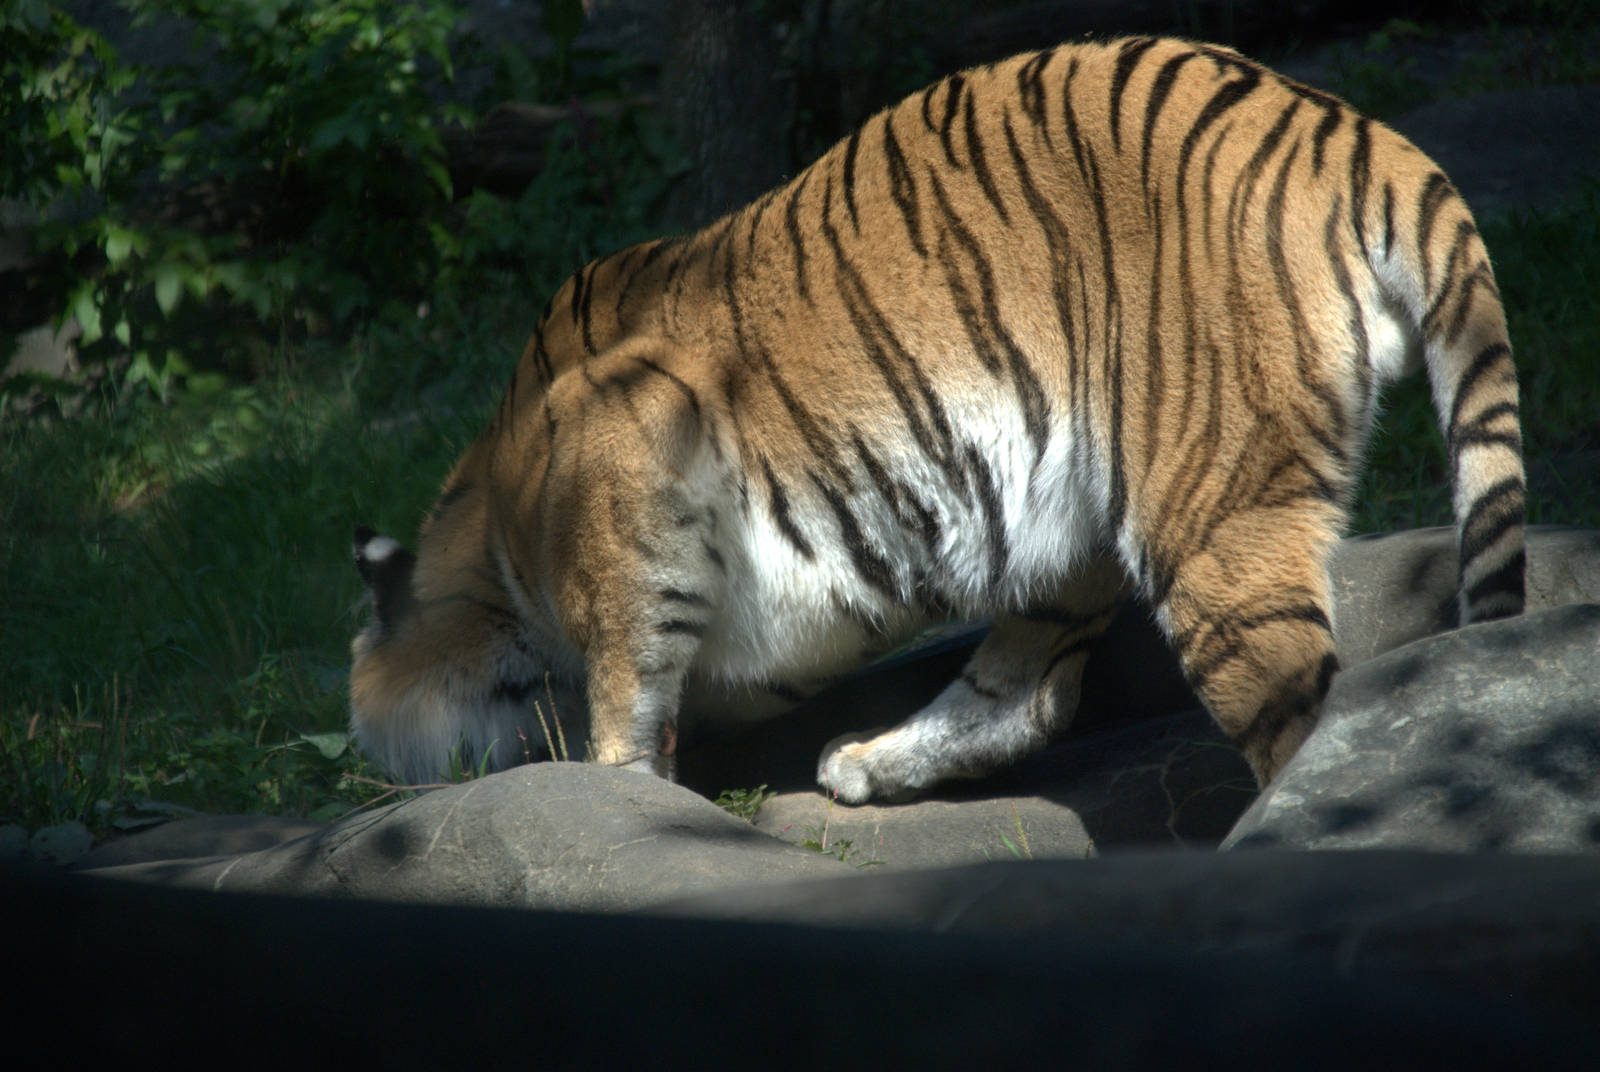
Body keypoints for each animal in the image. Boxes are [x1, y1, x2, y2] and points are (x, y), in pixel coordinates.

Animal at [349, 35, 1526, 803]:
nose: (368, 761)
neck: (493, 537)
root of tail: (1348, 130)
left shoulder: (630, 451)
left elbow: (628, 692)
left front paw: (622, 803)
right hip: (1089, 510)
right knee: (1026, 695)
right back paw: (865, 765)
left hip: (1211, 513)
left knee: (1297, 720)